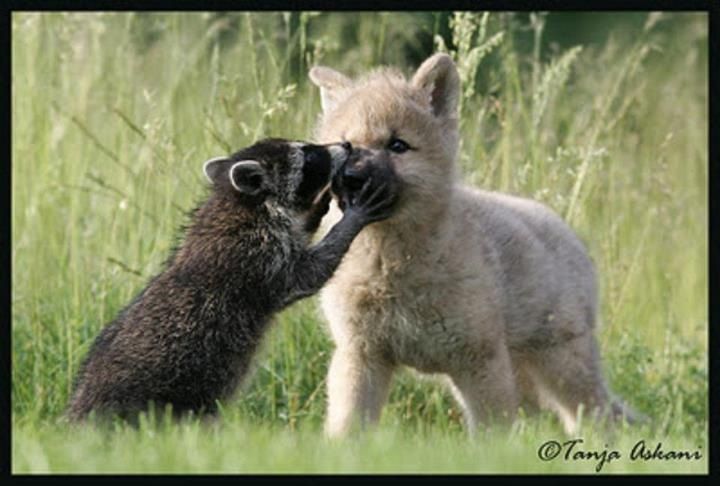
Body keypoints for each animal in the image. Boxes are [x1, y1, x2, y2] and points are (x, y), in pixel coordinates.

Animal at [67, 138, 400, 422]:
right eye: (309, 155)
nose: (347, 145)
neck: (239, 202)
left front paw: (314, 214)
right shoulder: (257, 256)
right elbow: (307, 274)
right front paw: (349, 221)